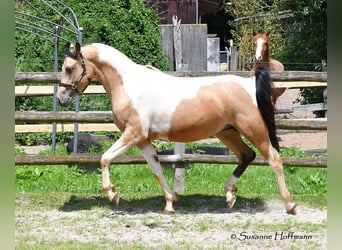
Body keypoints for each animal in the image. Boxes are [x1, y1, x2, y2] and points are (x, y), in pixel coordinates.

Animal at [56, 43, 296, 215]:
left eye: (69, 68)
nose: (60, 99)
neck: (128, 85)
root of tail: (248, 84)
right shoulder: (142, 140)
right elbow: (156, 169)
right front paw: (170, 203)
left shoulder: (133, 134)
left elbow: (105, 158)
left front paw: (112, 194)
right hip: (227, 132)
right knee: (247, 155)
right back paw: (230, 196)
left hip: (254, 131)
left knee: (274, 159)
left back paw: (289, 204)